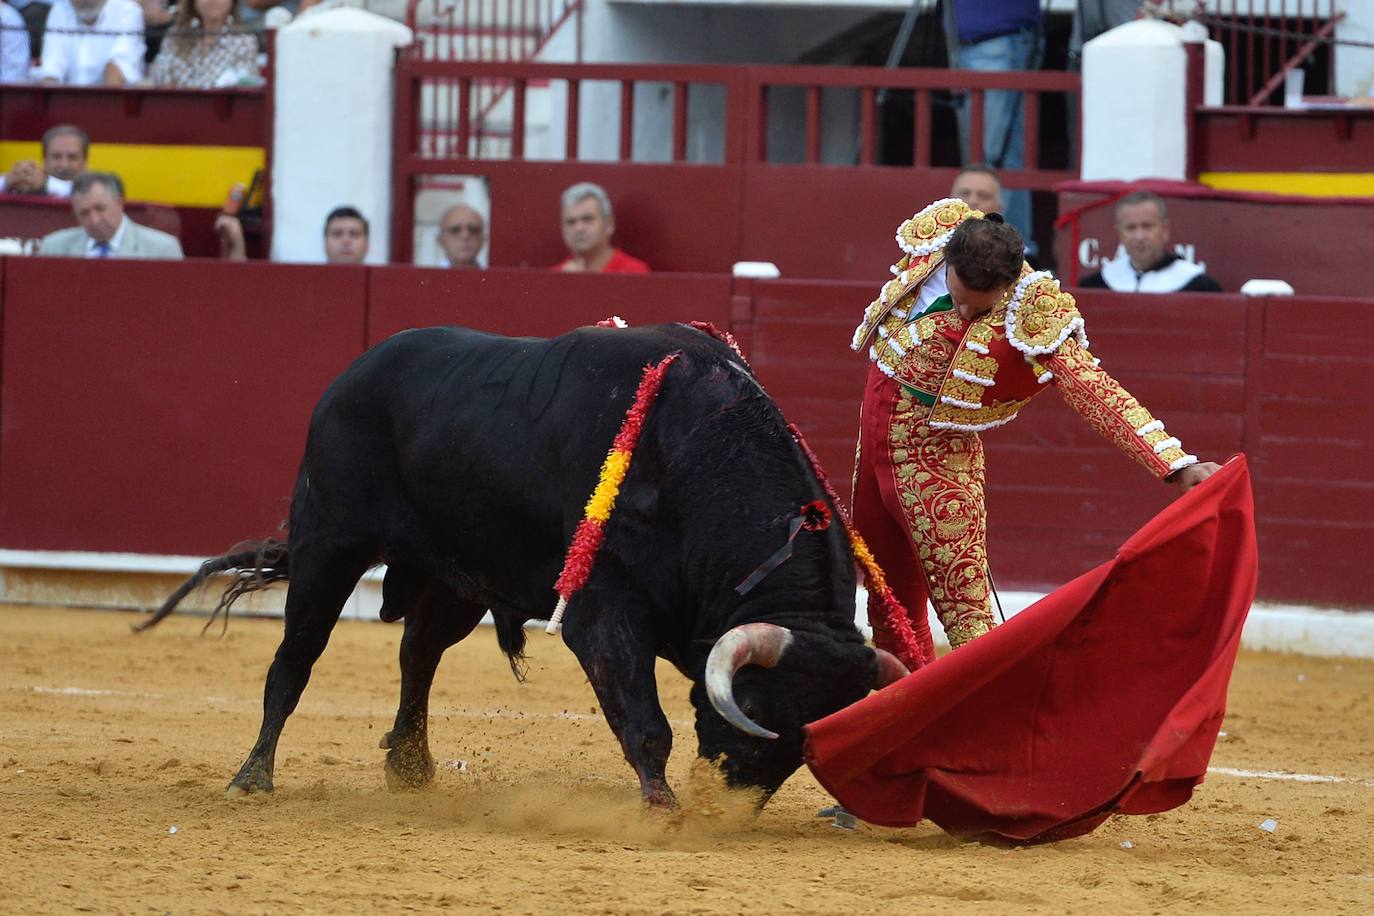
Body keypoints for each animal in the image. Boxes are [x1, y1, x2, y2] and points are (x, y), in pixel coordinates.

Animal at [139, 325, 901, 807]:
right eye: (756, 709)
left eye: (808, 739)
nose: (730, 807)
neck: (702, 457)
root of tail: (351, 375)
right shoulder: (603, 611)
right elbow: (643, 717)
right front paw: (661, 808)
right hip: (328, 547)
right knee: (294, 662)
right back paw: (252, 778)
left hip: (455, 578)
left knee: (418, 654)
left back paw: (409, 767)